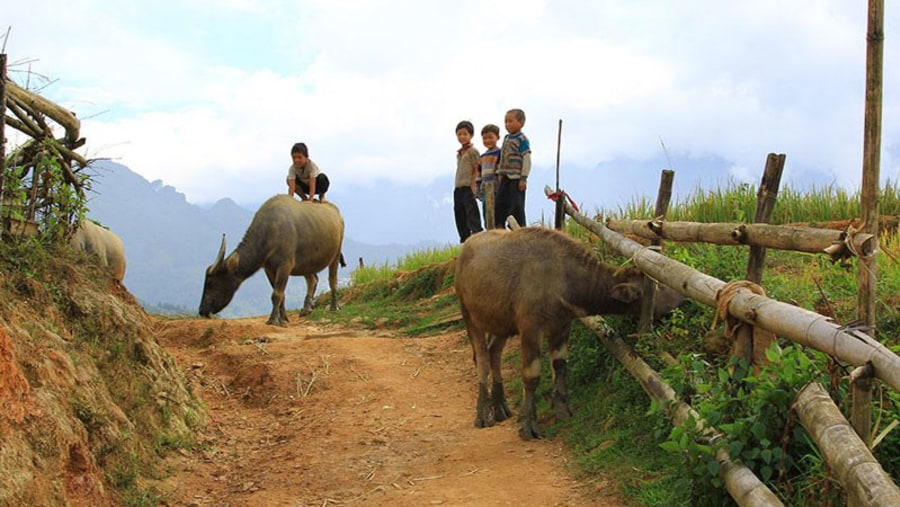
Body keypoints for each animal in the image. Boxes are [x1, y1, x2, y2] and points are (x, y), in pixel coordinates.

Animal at [200, 196, 344, 328]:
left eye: (210, 283)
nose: (202, 310)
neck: (269, 232)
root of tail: (337, 213)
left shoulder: (285, 266)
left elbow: (276, 294)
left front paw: (273, 320)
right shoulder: (268, 269)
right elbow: (281, 295)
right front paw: (283, 318)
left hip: (335, 255)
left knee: (332, 280)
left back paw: (334, 307)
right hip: (307, 264)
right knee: (312, 280)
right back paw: (306, 309)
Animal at [454, 227, 684, 440]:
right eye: (659, 287)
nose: (682, 299)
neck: (563, 278)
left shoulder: (562, 326)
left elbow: (560, 365)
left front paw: (562, 408)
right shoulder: (530, 329)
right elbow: (531, 375)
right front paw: (528, 423)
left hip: (500, 323)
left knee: (494, 352)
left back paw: (500, 405)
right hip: (469, 316)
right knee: (482, 359)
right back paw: (484, 413)